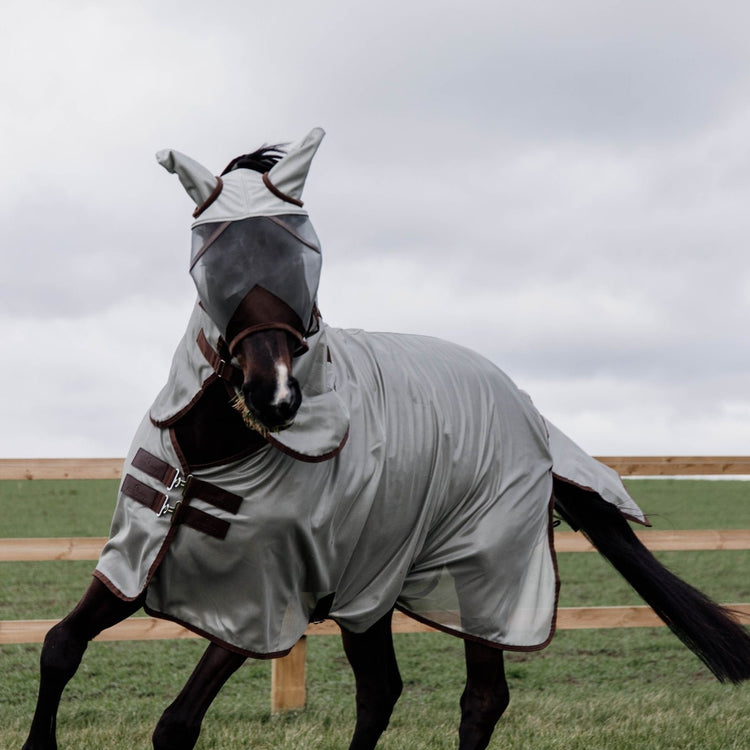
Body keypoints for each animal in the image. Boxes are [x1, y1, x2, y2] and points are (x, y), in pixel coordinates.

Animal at [24, 128, 750, 750]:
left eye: (306, 254)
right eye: (211, 259)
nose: (276, 395)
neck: (212, 456)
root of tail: (529, 411)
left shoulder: (261, 602)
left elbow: (175, 724)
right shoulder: (134, 561)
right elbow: (60, 646)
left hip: (485, 579)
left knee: (480, 699)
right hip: (372, 587)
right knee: (381, 691)